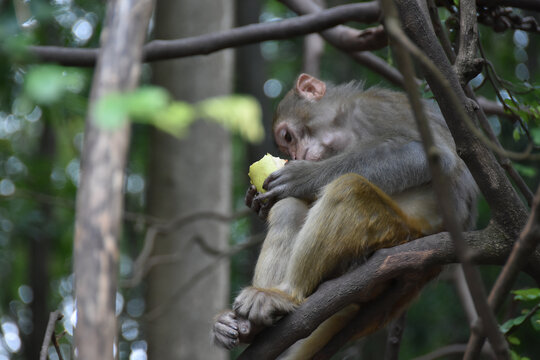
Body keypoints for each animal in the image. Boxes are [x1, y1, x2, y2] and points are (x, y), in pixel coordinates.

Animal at [211, 73, 476, 358]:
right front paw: (255, 201)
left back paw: (287, 295)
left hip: (395, 234)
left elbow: (431, 157)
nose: (296, 155)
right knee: (290, 208)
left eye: (288, 137)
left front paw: (304, 176)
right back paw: (254, 325)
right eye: (287, 146)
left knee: (347, 189)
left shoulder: (374, 110)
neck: (342, 125)